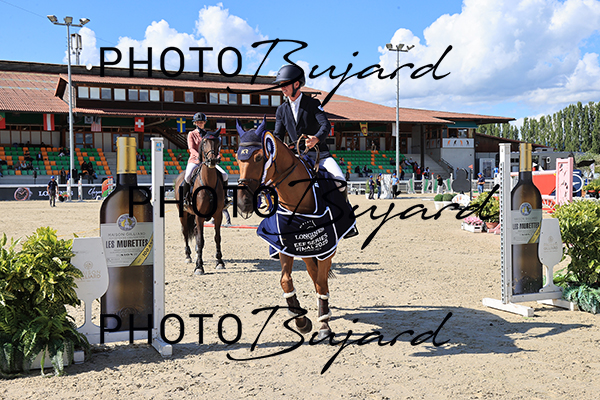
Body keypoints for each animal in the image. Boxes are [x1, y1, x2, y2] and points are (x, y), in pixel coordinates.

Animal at [175, 131, 225, 275]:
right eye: (204, 142)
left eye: (218, 142)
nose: (212, 160)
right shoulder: (199, 216)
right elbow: (200, 239)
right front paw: (199, 266)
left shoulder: (218, 215)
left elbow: (217, 237)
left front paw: (219, 262)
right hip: (183, 214)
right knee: (185, 232)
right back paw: (188, 256)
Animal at [235, 119, 356, 340]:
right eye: (236, 158)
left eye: (259, 157)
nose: (243, 203)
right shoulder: (285, 245)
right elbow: (286, 281)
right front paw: (300, 320)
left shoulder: (326, 247)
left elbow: (321, 282)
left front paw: (324, 326)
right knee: (313, 272)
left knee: (319, 278)